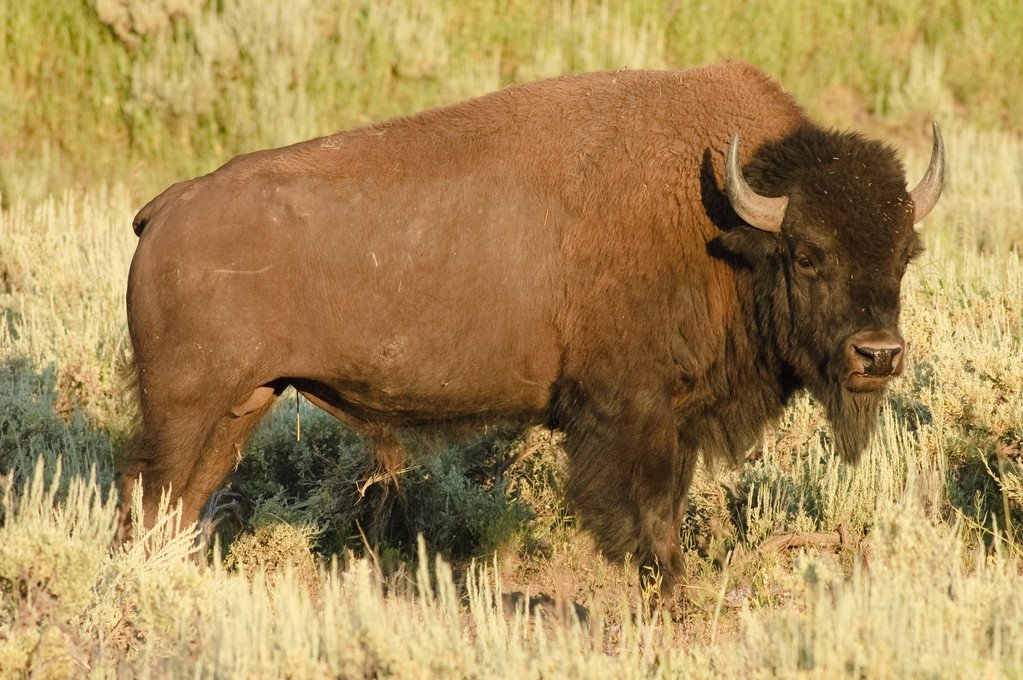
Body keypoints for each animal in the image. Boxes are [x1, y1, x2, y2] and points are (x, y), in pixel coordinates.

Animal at [117, 62, 941, 593]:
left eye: (906, 253)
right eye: (807, 254)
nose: (878, 355)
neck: (719, 222)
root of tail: (170, 204)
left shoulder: (676, 420)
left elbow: (667, 511)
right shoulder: (632, 415)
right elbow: (649, 519)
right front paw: (670, 599)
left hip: (241, 405)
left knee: (182, 504)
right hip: (183, 408)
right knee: (147, 499)